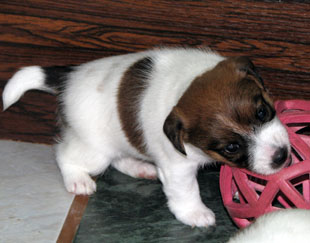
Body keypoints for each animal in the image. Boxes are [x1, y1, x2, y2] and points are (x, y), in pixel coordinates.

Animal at [1, 48, 290, 228]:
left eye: (262, 112)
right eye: (231, 147)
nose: (281, 156)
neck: (185, 83)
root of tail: (68, 77)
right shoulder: (177, 166)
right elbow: (186, 191)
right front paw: (195, 213)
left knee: (118, 158)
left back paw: (139, 167)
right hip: (93, 149)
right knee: (65, 155)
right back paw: (78, 180)